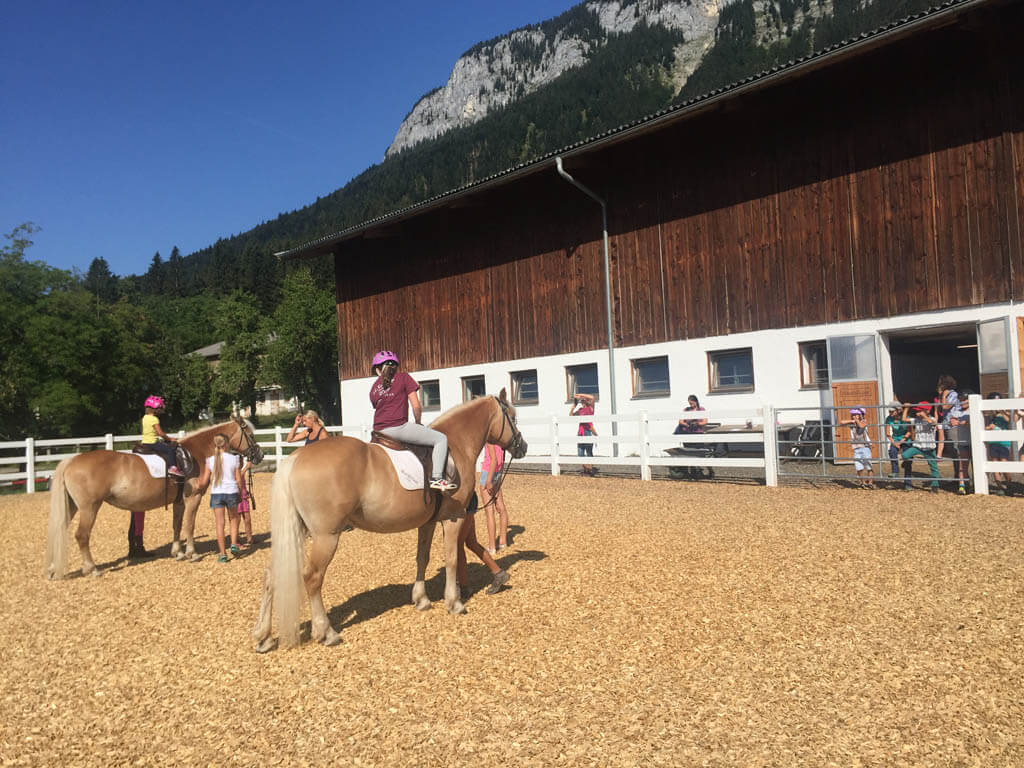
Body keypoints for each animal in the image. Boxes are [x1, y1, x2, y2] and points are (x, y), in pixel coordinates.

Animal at [48, 421, 264, 577]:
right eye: (251, 435)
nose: (260, 455)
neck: (195, 454)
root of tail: (71, 461)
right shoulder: (193, 498)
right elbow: (190, 525)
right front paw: (191, 553)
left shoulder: (179, 502)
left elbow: (177, 525)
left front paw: (177, 552)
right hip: (89, 508)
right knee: (82, 536)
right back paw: (92, 569)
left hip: (72, 506)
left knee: (59, 529)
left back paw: (52, 569)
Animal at [252, 387, 528, 651]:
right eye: (512, 417)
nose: (522, 446)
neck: (456, 445)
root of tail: (295, 458)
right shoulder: (454, 518)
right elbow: (451, 559)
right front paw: (454, 602)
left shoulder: (427, 522)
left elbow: (422, 558)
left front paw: (421, 599)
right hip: (325, 536)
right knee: (312, 577)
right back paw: (326, 632)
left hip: (297, 532)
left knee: (272, 575)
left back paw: (263, 637)